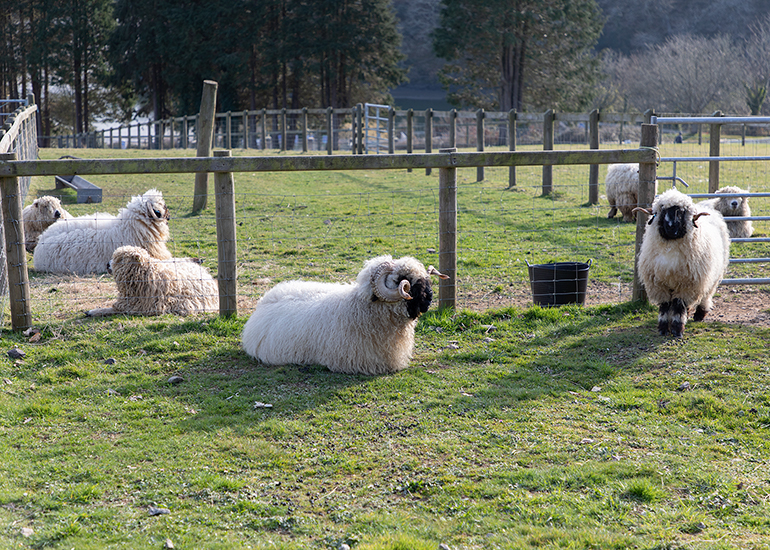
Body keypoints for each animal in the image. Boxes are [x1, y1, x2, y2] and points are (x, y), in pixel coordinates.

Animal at [633, 188, 730, 337]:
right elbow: (665, 306)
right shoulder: (659, 284)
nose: (671, 227)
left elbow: (678, 307)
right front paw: (663, 329)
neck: (670, 248)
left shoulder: (686, 285)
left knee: (707, 294)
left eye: (682, 212)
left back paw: (700, 313)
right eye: (662, 211)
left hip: (713, 275)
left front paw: (677, 330)